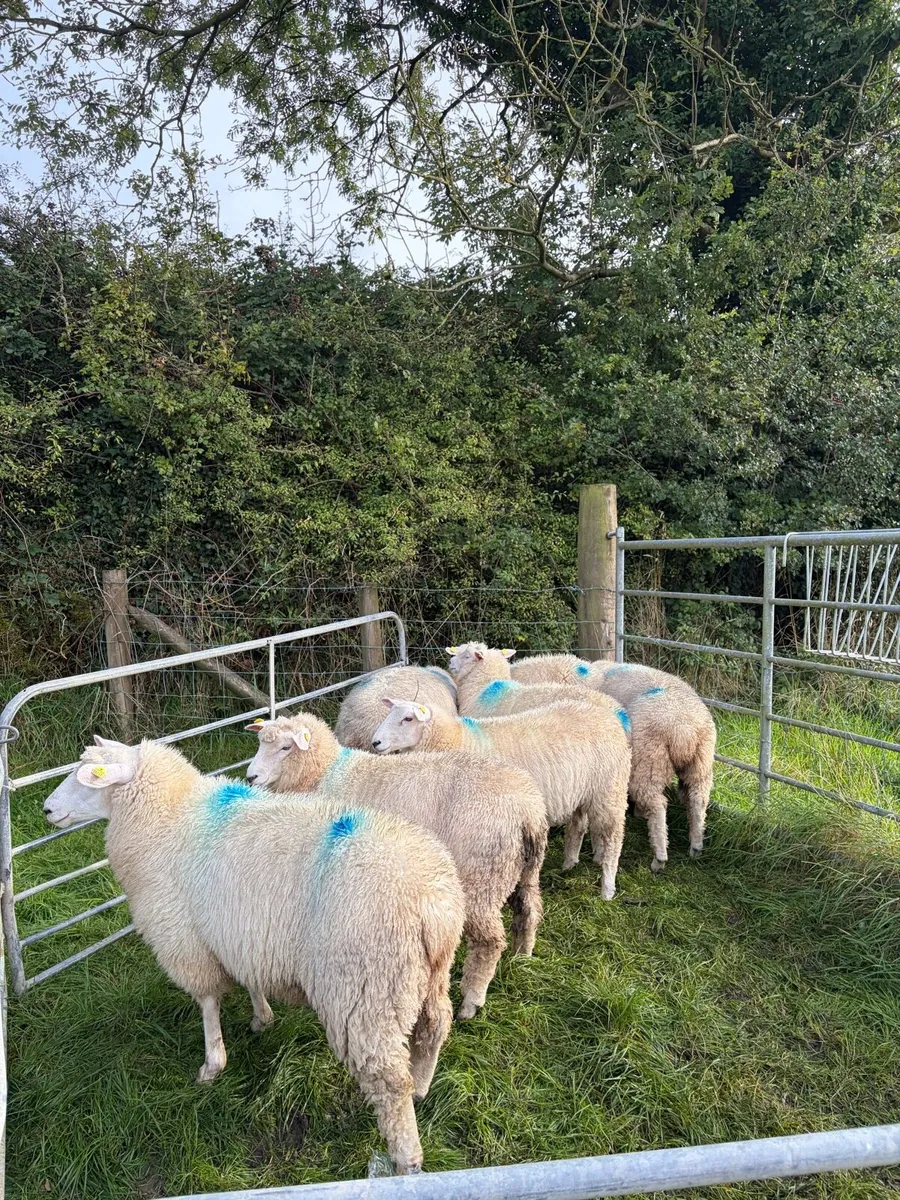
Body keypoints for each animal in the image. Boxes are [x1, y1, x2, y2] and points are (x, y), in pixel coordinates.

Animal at [42, 736, 465, 1175]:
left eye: (88, 777)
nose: (46, 810)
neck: (168, 818)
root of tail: (433, 902)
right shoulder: (242, 934)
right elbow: (249, 979)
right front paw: (262, 1017)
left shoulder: (184, 937)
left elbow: (207, 1001)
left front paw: (212, 1064)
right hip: (428, 975)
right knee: (435, 1028)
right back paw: (421, 1088)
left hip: (366, 991)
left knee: (388, 1079)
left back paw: (406, 1159)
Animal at [245, 711, 548, 1019]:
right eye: (260, 743)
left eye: (286, 747)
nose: (250, 776)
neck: (325, 773)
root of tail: (528, 810)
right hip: (522, 868)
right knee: (530, 908)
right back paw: (523, 955)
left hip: (482, 877)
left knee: (489, 941)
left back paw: (471, 1002)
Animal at [370, 696, 630, 900]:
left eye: (408, 719)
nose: (375, 742)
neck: (459, 739)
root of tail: (611, 719)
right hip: (583, 791)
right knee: (577, 825)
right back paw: (568, 865)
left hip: (610, 790)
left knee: (614, 838)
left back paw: (607, 889)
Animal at [511, 653, 717, 870]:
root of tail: (684, 729)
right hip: (700, 761)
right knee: (697, 799)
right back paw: (696, 845)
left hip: (649, 759)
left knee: (658, 804)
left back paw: (659, 857)